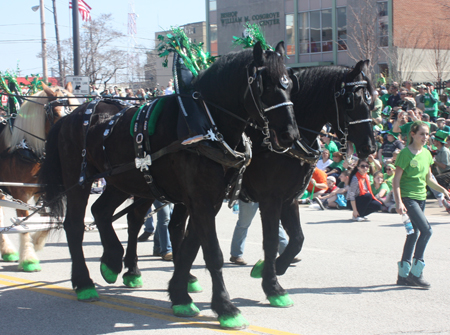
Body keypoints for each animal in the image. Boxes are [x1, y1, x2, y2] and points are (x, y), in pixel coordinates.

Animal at [38, 42, 298, 330]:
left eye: (289, 84)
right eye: (264, 85)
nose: (290, 134)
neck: (206, 123)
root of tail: (70, 116)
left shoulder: (208, 201)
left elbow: (189, 247)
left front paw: (181, 295)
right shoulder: (201, 200)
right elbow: (212, 253)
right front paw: (226, 308)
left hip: (121, 181)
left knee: (102, 212)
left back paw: (113, 261)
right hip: (79, 181)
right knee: (75, 225)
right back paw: (85, 282)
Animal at [171, 58, 378, 308]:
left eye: (372, 100)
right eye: (351, 101)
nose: (369, 147)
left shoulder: (289, 198)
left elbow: (297, 238)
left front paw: (273, 268)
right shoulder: (270, 199)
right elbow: (270, 241)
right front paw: (272, 285)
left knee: (177, 229)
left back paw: (185, 280)